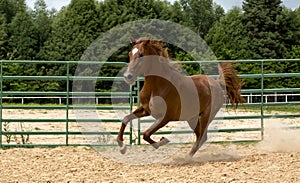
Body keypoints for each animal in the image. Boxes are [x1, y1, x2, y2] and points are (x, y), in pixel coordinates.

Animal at [116, 37, 245, 157]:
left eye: (142, 54)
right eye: (130, 53)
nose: (128, 76)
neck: (157, 86)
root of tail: (217, 83)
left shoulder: (165, 117)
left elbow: (146, 134)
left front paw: (163, 141)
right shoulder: (146, 110)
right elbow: (126, 119)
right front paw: (122, 147)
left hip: (206, 115)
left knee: (201, 137)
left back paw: (186, 158)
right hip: (192, 118)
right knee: (201, 136)